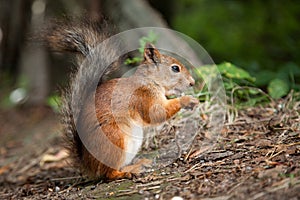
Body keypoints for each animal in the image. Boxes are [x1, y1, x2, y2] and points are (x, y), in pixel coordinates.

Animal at [45, 19, 198, 180]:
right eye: (175, 68)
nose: (192, 82)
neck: (149, 81)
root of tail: (87, 165)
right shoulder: (142, 97)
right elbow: (156, 114)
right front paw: (186, 100)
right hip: (114, 138)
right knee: (109, 173)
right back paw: (128, 172)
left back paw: (138, 164)